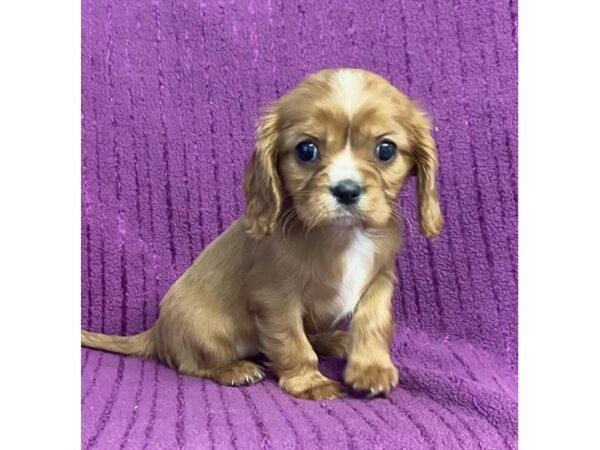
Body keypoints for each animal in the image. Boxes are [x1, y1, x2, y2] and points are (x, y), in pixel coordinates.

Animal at [81, 67, 440, 400]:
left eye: (385, 150)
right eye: (307, 150)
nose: (347, 190)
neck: (342, 235)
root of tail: (156, 331)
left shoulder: (379, 280)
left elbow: (373, 324)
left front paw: (370, 370)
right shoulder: (276, 297)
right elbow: (292, 342)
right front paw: (310, 383)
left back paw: (335, 340)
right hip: (206, 331)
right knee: (191, 364)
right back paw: (235, 369)